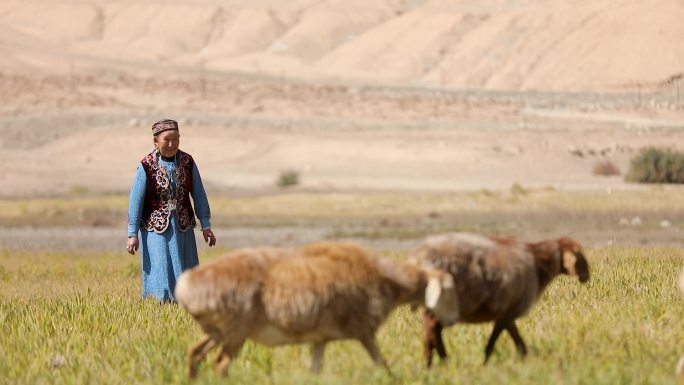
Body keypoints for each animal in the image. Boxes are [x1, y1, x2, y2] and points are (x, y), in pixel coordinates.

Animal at [174, 242, 456, 376]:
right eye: (449, 288)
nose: (453, 320)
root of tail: (187, 284)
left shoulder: (321, 339)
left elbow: (315, 372)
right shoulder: (365, 333)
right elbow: (383, 365)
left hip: (217, 333)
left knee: (194, 353)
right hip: (235, 335)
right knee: (220, 365)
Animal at [408, 231, 592, 366]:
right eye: (579, 254)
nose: (586, 276)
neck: (540, 265)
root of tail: (418, 257)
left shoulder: (506, 313)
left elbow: (514, 338)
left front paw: (522, 358)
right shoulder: (508, 311)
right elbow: (498, 340)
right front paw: (487, 362)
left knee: (432, 330)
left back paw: (436, 362)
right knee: (431, 329)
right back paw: (436, 361)